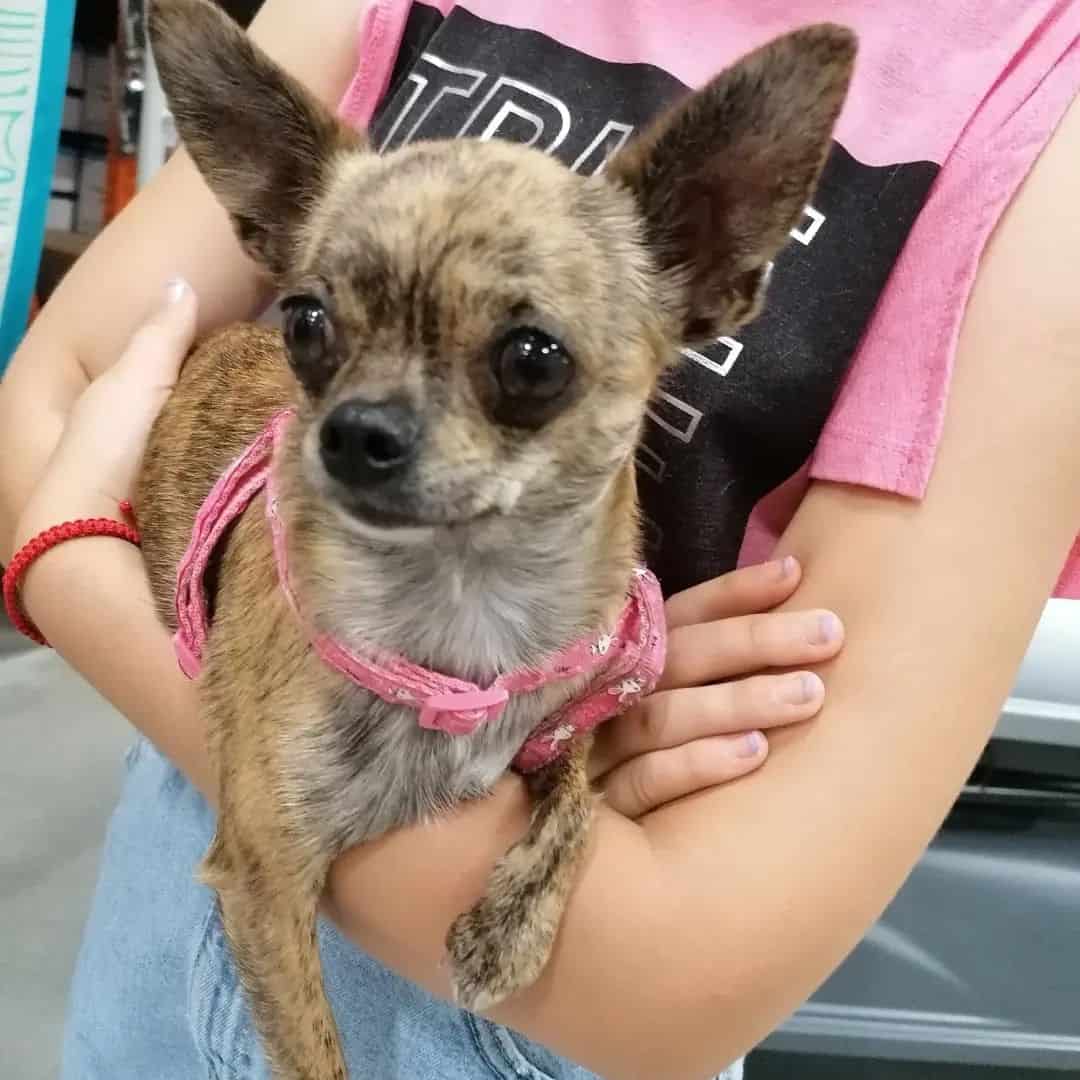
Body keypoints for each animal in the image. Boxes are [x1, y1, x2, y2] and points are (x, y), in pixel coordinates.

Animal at [135, 4, 855, 1075]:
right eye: (308, 324)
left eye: (532, 361)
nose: (352, 430)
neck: (464, 607)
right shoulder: (262, 878)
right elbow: (314, 1050)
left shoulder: (577, 708)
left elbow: (579, 795)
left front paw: (509, 926)